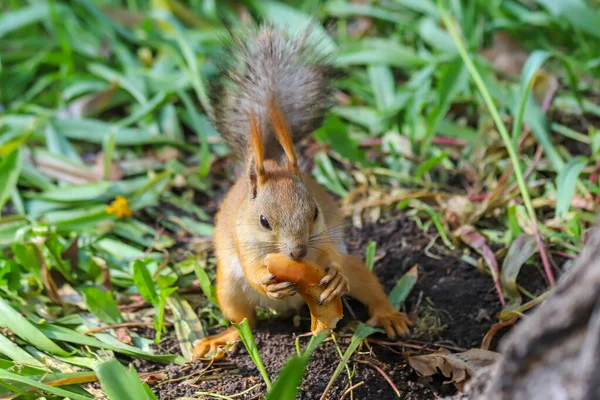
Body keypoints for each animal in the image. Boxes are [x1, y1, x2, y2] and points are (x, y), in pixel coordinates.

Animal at [195, 25, 410, 356]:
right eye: (263, 221)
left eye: (315, 213)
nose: (298, 252)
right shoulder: (242, 239)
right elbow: (251, 269)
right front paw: (266, 282)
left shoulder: (323, 238)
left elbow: (331, 255)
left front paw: (336, 277)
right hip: (229, 289)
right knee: (244, 321)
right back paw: (222, 338)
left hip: (357, 269)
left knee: (367, 284)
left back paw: (387, 314)